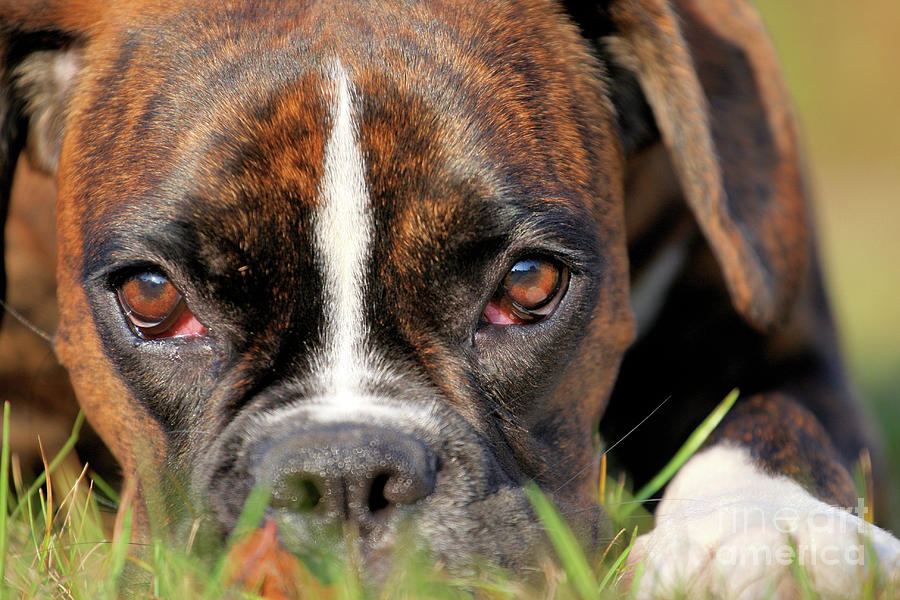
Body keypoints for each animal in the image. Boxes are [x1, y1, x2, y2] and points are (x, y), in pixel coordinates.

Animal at [1, 0, 900, 596]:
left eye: (529, 284)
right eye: (152, 297)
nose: (343, 473)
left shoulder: (771, 342)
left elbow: (778, 419)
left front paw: (769, 533)